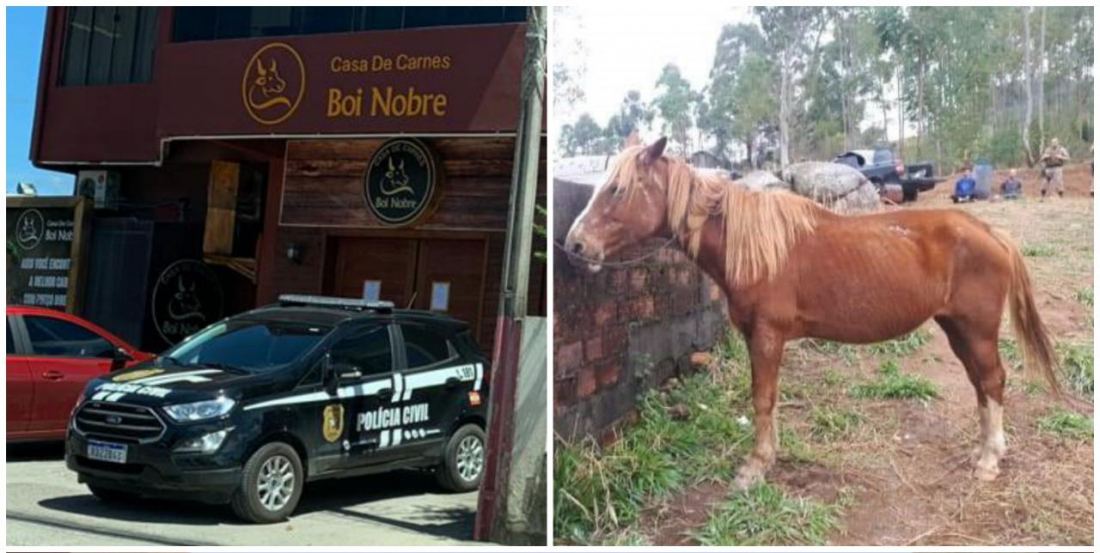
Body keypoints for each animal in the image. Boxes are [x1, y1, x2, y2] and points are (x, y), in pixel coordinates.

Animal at [563, 137, 1060, 488]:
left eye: (617, 189)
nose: (575, 245)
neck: (757, 248)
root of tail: (990, 232)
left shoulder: (767, 335)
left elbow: (762, 398)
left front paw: (755, 467)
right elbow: (769, 397)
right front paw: (769, 455)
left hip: (977, 330)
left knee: (992, 381)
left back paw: (989, 460)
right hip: (958, 330)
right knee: (981, 384)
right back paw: (986, 451)